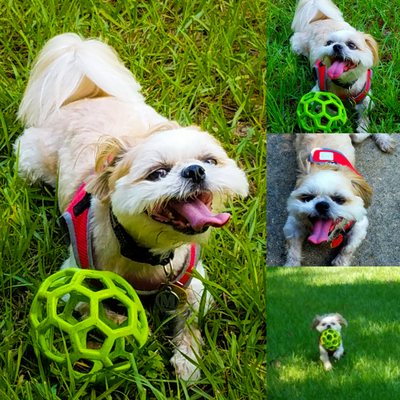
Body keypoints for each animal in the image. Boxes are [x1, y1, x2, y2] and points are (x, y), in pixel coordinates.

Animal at [14, 33, 247, 382]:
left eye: (210, 161)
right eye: (157, 174)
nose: (195, 171)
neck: (149, 255)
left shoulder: (193, 285)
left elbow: (191, 320)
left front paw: (188, 361)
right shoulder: (74, 277)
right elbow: (92, 307)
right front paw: (123, 323)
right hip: (30, 162)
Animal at [284, 133, 394, 268]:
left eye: (339, 199)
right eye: (307, 197)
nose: (322, 205)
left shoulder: (360, 223)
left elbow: (349, 248)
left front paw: (341, 262)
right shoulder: (293, 222)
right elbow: (292, 248)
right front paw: (291, 265)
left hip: (357, 136)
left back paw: (384, 139)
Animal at [290, 0, 378, 134]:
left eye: (352, 45)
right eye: (329, 43)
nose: (336, 46)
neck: (345, 85)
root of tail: (320, 19)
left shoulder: (365, 95)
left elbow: (365, 111)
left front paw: (363, 127)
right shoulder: (316, 93)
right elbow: (322, 106)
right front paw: (336, 115)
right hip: (297, 47)